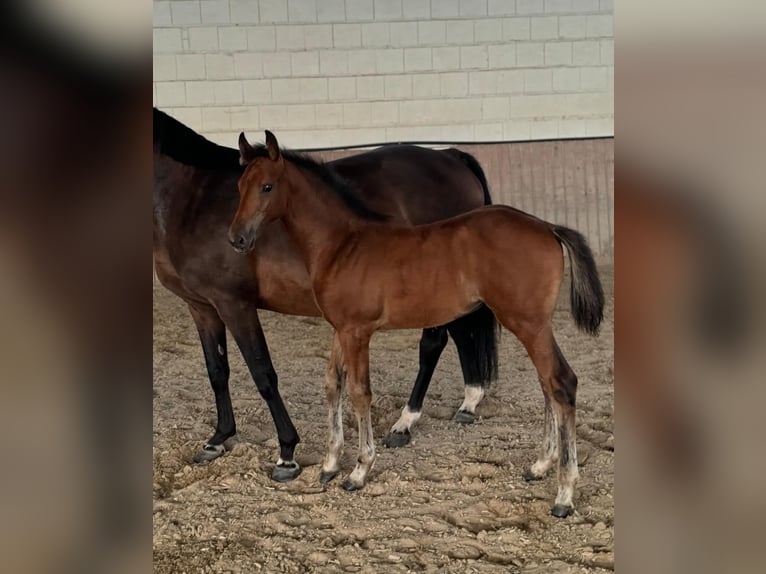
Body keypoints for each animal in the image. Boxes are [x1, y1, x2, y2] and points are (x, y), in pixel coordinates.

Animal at [154, 108, 500, 482]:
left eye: (266, 187)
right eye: (239, 187)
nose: (239, 239)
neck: (191, 197)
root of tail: (450, 156)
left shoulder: (235, 304)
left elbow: (263, 374)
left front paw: (287, 453)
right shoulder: (201, 306)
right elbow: (217, 372)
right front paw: (217, 439)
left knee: (434, 342)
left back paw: (405, 422)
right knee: (459, 332)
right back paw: (468, 400)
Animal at [230, 133, 608, 520]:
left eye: (267, 186)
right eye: (241, 185)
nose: (238, 239)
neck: (342, 245)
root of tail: (547, 227)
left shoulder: (357, 332)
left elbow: (359, 393)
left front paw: (359, 471)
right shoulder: (341, 329)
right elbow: (333, 384)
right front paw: (330, 464)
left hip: (528, 323)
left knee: (560, 383)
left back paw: (564, 494)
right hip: (531, 324)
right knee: (548, 385)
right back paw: (540, 465)